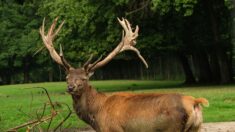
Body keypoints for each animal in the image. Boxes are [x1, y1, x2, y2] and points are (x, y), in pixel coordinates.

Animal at [39, 17, 208, 131]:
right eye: (67, 77)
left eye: (84, 78)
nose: (71, 87)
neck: (96, 116)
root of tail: (195, 102)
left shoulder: (112, 129)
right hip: (195, 128)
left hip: (172, 127)